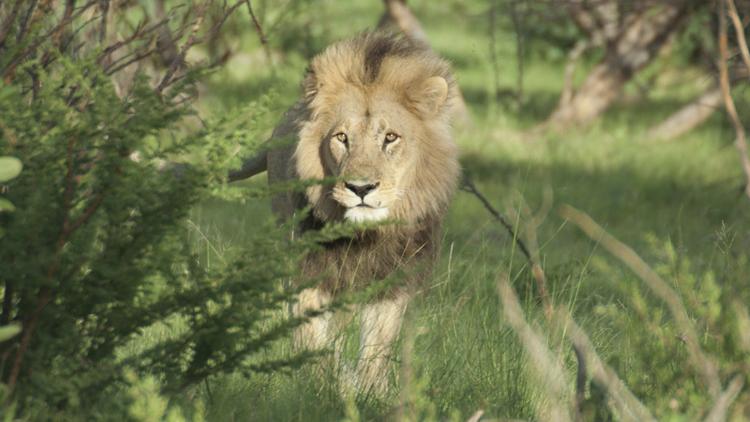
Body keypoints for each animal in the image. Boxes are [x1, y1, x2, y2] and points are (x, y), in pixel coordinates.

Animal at [232, 32, 462, 396]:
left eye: (390, 138)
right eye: (342, 137)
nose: (360, 188)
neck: (364, 237)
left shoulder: (392, 279)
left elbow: (378, 345)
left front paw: (370, 392)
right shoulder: (307, 268)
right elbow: (312, 339)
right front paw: (326, 387)